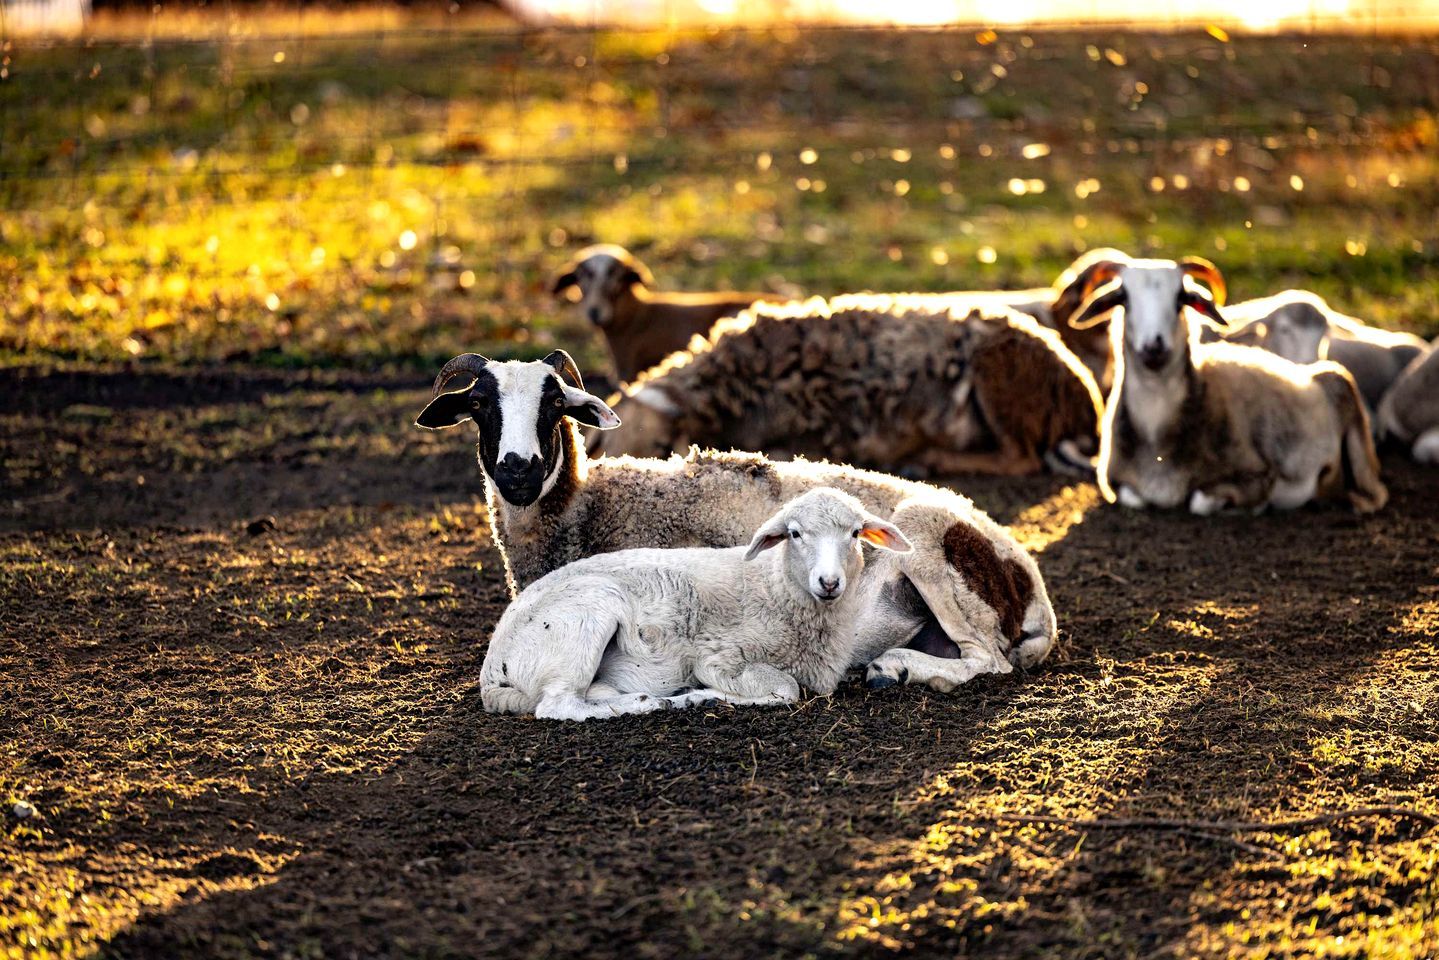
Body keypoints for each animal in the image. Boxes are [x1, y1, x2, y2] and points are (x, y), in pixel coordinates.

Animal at [415, 350, 1057, 691]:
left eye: (555, 405)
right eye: (479, 405)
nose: (518, 471)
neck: (589, 505)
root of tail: (1036, 597)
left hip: (929, 539)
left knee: (989, 661)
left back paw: (894, 668)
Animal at [480, 488, 913, 721]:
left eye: (855, 533)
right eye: (794, 533)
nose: (829, 582)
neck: (776, 586)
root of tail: (491, 672)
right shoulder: (720, 656)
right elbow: (784, 688)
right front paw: (716, 695)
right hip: (585, 616)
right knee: (559, 705)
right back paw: (648, 704)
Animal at [1069, 257, 1388, 515]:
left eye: (1181, 298)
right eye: (1123, 297)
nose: (1154, 346)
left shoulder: (1257, 476)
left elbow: (1200, 501)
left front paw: (1252, 508)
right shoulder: (1113, 482)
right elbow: (1132, 497)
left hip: (1345, 397)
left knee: (1372, 492)